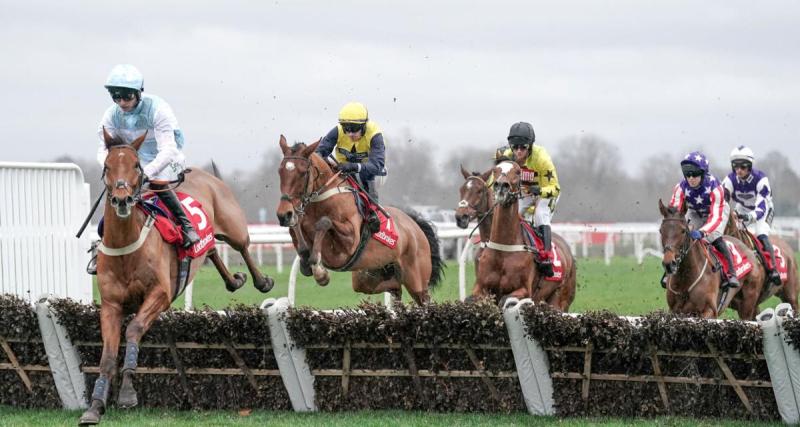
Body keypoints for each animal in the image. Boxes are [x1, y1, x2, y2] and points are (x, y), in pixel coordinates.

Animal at [80, 130, 276, 424]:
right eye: (106, 166)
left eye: (137, 165)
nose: (122, 200)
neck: (127, 247)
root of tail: (204, 173)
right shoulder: (111, 304)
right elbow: (106, 357)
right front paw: (95, 406)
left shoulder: (161, 294)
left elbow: (134, 329)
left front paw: (127, 393)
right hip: (208, 241)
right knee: (210, 250)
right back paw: (233, 281)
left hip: (234, 225)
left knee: (242, 245)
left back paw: (262, 281)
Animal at [276, 135, 444, 306]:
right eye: (280, 171)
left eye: (303, 173)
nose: (283, 214)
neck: (323, 199)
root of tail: (415, 226)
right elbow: (295, 228)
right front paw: (306, 262)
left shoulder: (350, 242)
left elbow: (324, 222)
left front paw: (320, 272)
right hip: (367, 277)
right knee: (395, 287)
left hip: (417, 279)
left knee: (424, 299)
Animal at [468, 161, 576, 310]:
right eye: (495, 170)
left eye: (518, 172)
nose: (501, 186)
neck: (504, 248)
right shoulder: (480, 287)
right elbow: (471, 299)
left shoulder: (524, 290)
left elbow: (506, 301)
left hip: (559, 299)